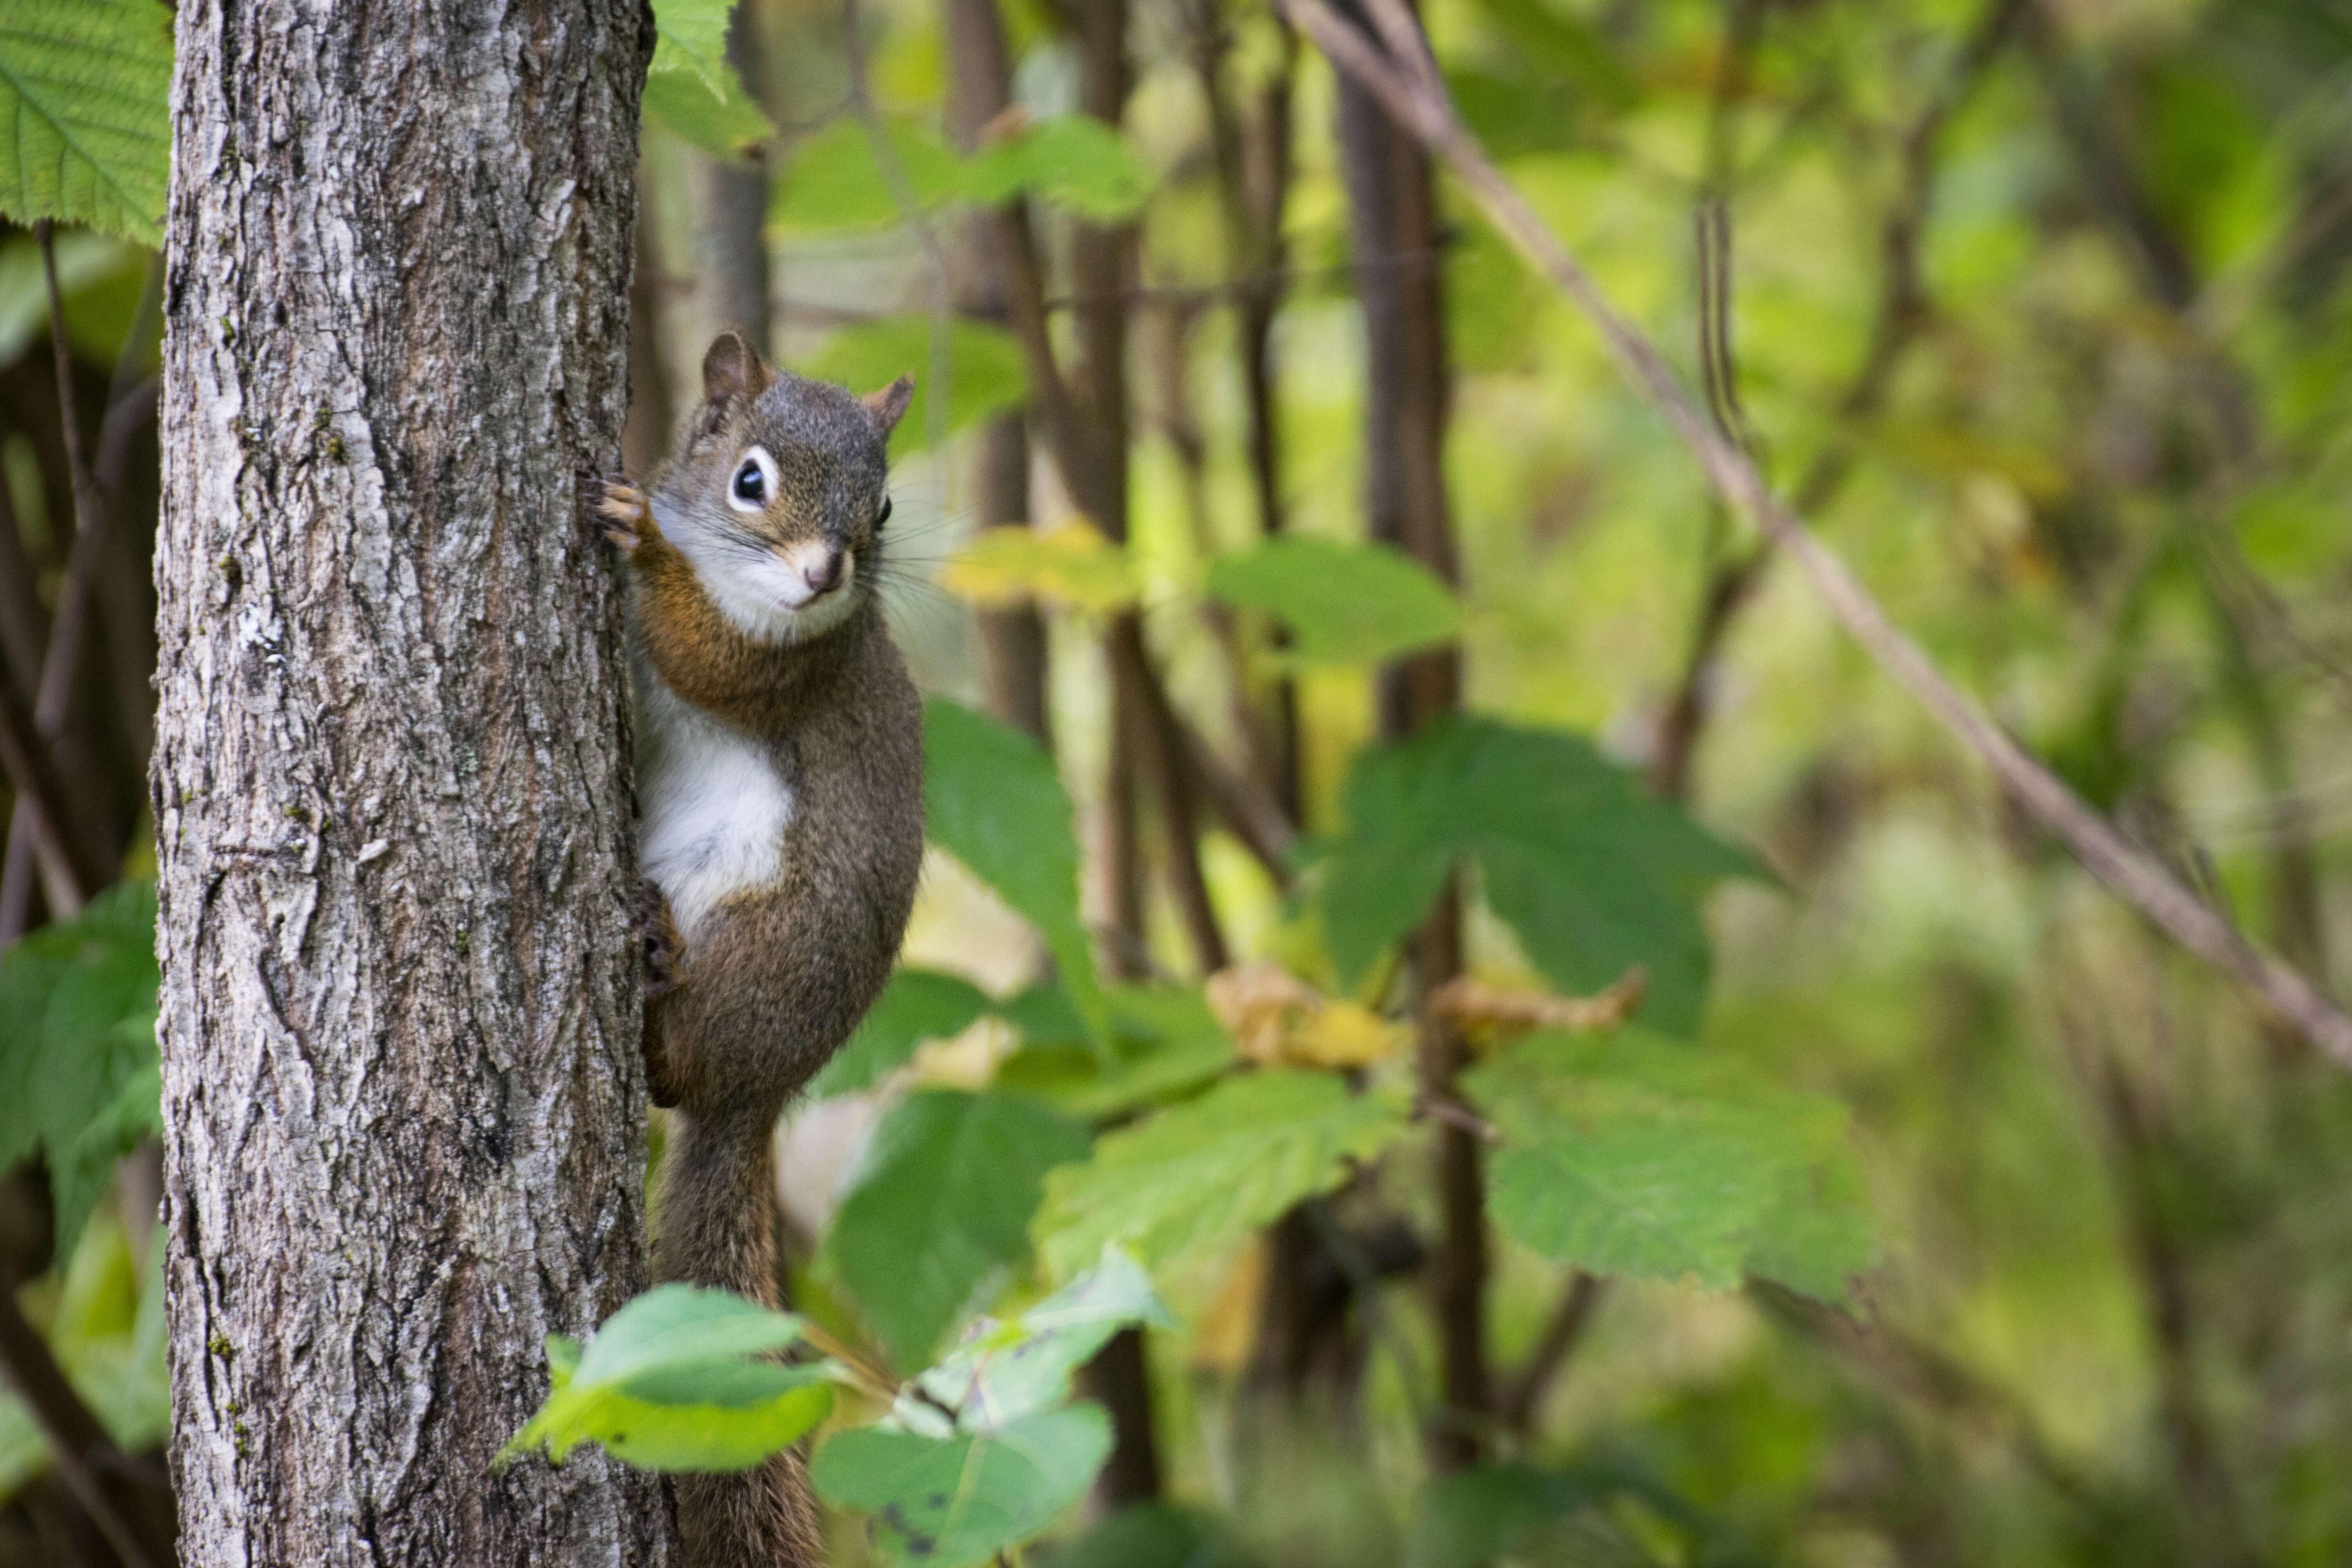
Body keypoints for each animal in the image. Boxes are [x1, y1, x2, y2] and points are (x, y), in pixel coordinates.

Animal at [597, 334, 917, 1568]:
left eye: (884, 505)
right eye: (751, 479)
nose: (827, 575)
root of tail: (763, 1091)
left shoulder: (782, 671)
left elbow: (703, 655)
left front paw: (642, 546)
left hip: (753, 936)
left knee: (674, 1066)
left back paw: (653, 963)